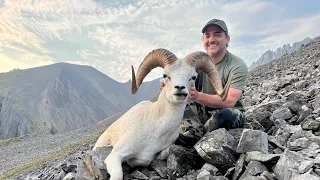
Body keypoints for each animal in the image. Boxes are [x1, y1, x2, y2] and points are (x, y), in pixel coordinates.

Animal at [94, 48, 231, 180]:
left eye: (193, 77)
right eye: (165, 75)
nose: (180, 88)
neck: (156, 129)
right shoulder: (115, 155)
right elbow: (117, 175)